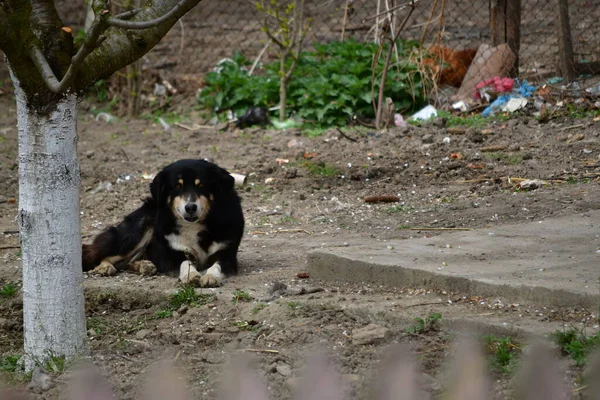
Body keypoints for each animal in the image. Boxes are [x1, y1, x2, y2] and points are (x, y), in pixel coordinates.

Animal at [81, 158, 245, 286]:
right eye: (177, 186)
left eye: (201, 185)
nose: (190, 207)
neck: (194, 225)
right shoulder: (175, 253)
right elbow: (186, 263)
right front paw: (191, 275)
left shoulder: (227, 255)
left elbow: (216, 266)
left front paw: (209, 277)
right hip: (138, 230)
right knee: (102, 254)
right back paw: (105, 267)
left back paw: (145, 265)